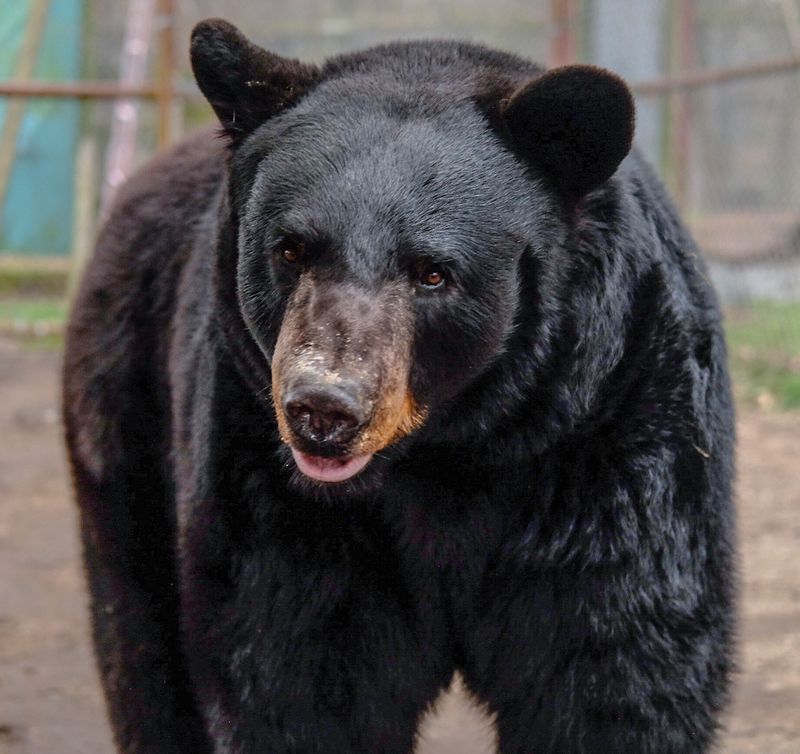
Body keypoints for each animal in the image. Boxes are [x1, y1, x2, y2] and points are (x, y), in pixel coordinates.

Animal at [63, 17, 736, 754]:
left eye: (432, 272)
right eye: (290, 249)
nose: (324, 409)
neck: (448, 451)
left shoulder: (612, 430)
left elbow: (617, 661)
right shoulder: (265, 475)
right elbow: (293, 664)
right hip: (126, 416)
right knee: (144, 642)